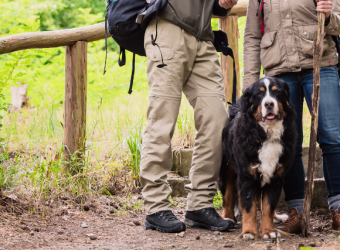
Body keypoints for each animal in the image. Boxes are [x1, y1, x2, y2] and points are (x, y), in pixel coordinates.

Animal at [219, 76, 296, 240]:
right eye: (259, 94)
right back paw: (227, 218)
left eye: (276, 92)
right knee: (228, 196)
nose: (269, 104)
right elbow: (249, 207)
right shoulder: (247, 176)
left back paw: (276, 217)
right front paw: (249, 231)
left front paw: (268, 231)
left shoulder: (275, 176)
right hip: (226, 170)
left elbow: (268, 206)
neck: (267, 135)